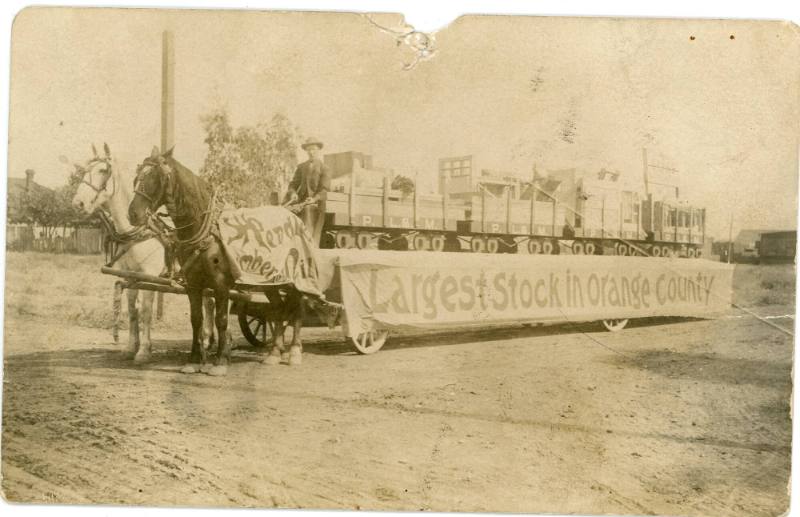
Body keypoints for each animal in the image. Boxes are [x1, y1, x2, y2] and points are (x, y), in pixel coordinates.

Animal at [70, 143, 217, 360]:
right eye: (84, 170)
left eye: (103, 170)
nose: (78, 203)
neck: (137, 234)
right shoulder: (131, 277)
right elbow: (133, 311)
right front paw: (131, 346)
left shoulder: (149, 277)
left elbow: (146, 312)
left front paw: (145, 350)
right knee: (210, 301)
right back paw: (208, 339)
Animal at [128, 145, 234, 374]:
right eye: (137, 176)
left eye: (155, 177)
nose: (132, 214)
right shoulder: (193, 284)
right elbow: (196, 319)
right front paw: (194, 359)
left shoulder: (221, 284)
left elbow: (221, 319)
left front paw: (220, 361)